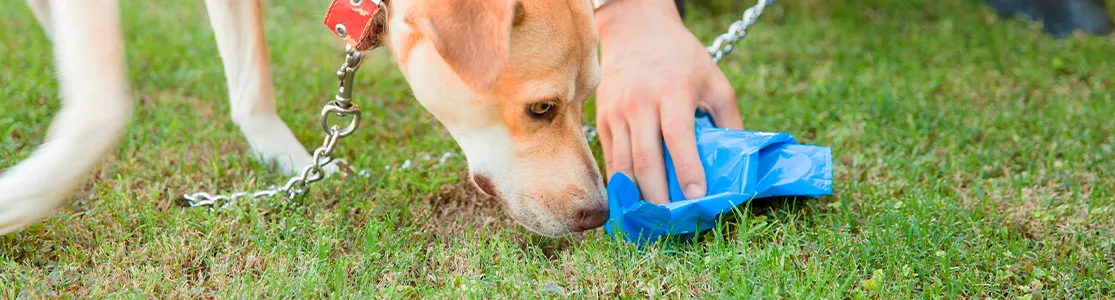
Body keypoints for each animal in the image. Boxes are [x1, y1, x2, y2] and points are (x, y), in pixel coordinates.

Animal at [2, 0, 611, 237]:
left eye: (589, 97)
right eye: (541, 108)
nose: (599, 214)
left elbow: (252, 81)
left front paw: (291, 161)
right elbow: (105, 110)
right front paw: (24, 198)